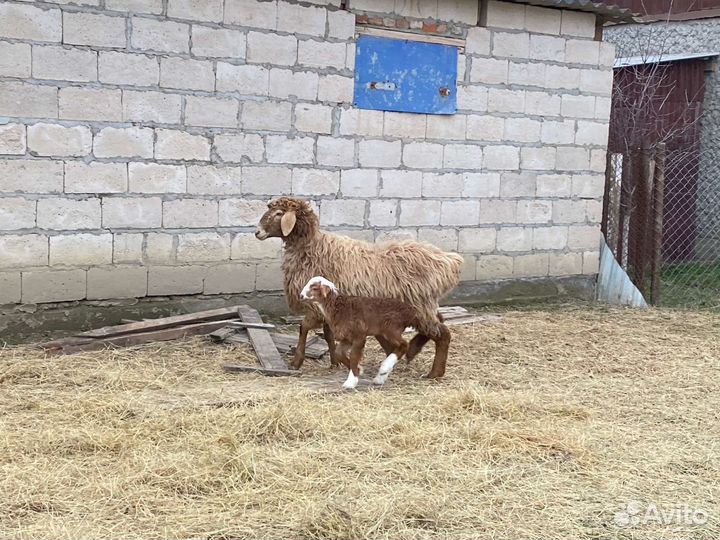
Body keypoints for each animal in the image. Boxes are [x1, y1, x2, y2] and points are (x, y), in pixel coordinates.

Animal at [254, 196, 463, 379]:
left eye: (279, 213)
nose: (257, 232)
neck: (312, 247)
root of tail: (446, 261)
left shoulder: (316, 306)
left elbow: (303, 327)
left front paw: (296, 362)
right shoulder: (327, 308)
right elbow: (328, 334)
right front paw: (334, 361)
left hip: (419, 307)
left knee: (442, 333)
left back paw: (434, 372)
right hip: (419, 307)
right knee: (436, 324)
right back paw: (412, 351)